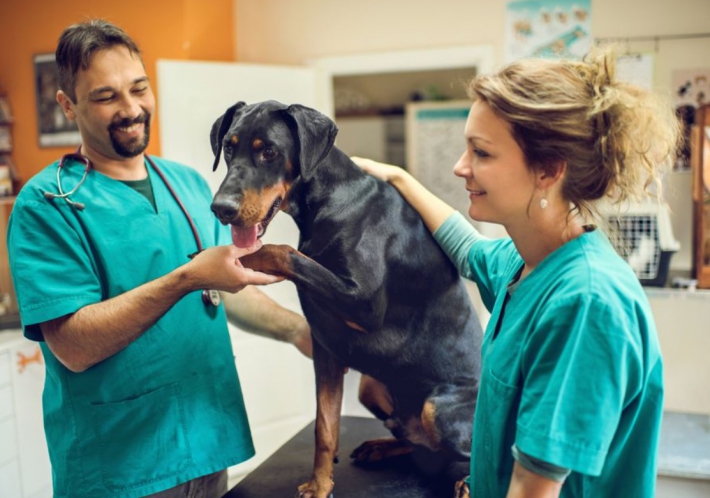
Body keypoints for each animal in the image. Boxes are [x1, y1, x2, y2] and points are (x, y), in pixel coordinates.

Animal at [210, 101, 484, 498]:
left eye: (270, 152)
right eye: (229, 148)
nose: (221, 208)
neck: (330, 200)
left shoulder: (363, 302)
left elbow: (284, 252)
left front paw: (241, 257)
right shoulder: (326, 350)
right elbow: (324, 426)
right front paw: (320, 484)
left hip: (437, 407)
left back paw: (466, 480)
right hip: (373, 384)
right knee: (417, 442)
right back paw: (381, 447)